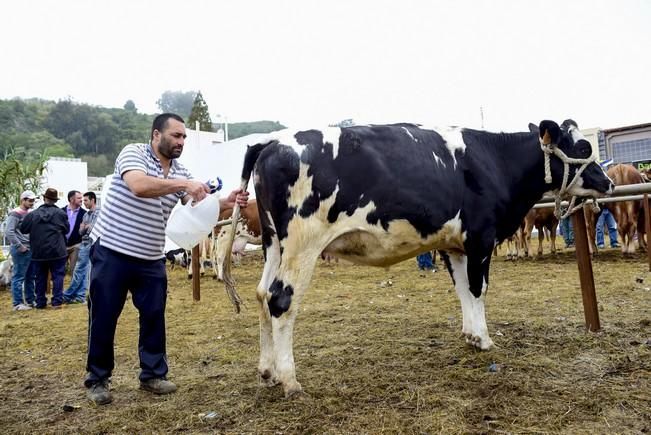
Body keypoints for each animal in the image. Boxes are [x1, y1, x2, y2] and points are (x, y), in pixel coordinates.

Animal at [222, 119, 612, 398]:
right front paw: (485, 340)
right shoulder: (480, 238)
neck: (494, 160)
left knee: (262, 294)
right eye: (582, 147)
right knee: (281, 300)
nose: (607, 182)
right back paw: (289, 380)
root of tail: (272, 141)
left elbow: (463, 291)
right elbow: (479, 289)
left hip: (273, 242)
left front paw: (471, 336)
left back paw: (268, 372)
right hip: (302, 243)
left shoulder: (454, 245)